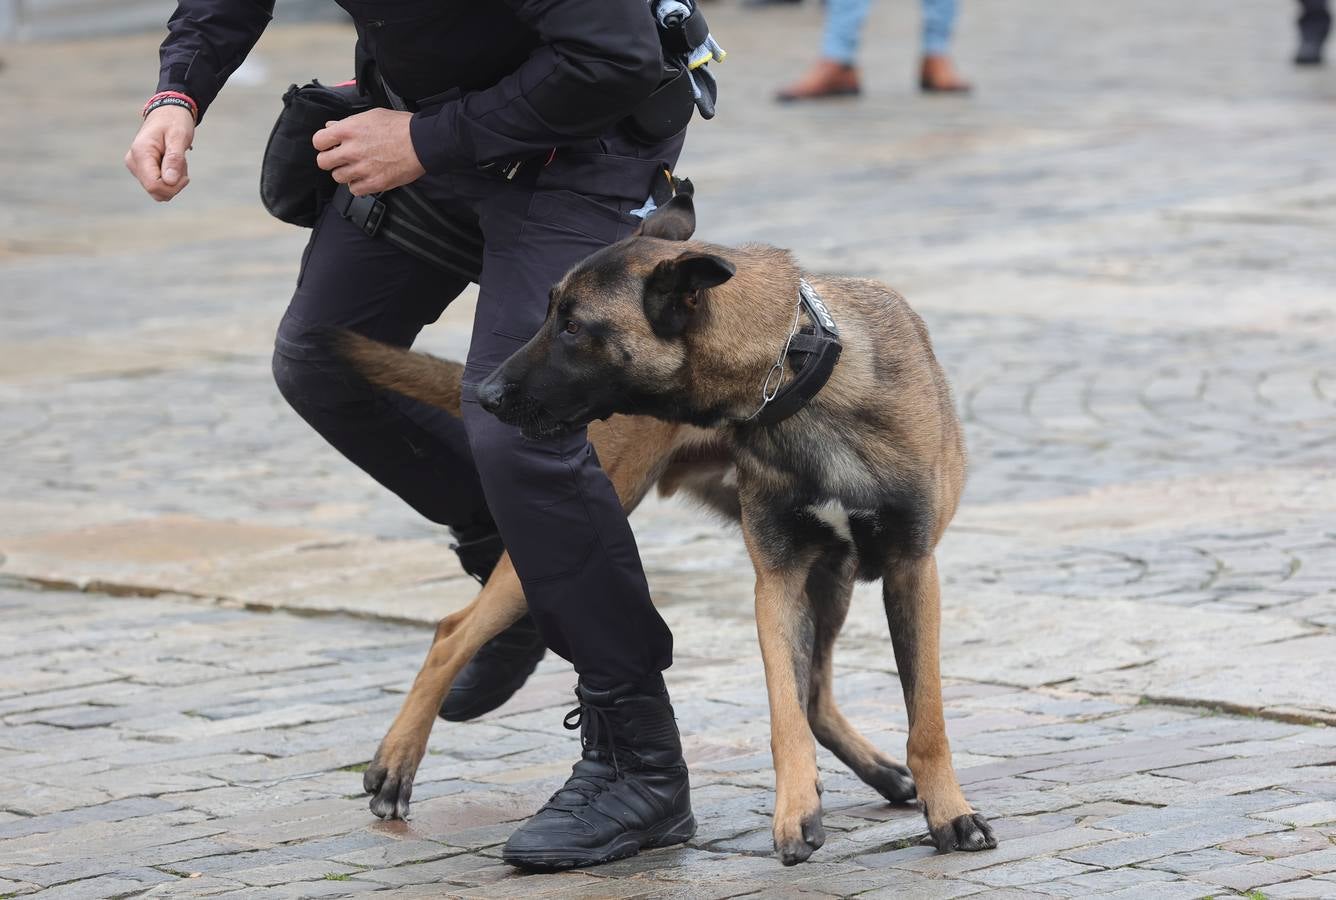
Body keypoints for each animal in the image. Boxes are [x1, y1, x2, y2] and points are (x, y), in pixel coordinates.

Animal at [339, 194, 999, 859]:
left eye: (573, 327)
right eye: (549, 313)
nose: (487, 393)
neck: (793, 376)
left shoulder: (910, 569)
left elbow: (926, 718)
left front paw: (950, 813)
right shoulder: (777, 582)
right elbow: (783, 714)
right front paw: (794, 812)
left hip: (829, 581)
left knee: (816, 694)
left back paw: (881, 772)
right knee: (453, 632)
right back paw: (395, 762)